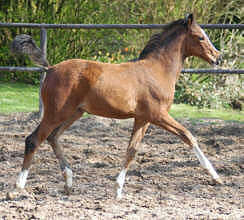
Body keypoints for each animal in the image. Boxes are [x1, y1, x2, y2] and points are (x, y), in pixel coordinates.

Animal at [13, 13, 223, 199]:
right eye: (200, 37)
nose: (218, 57)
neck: (157, 71)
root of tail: (50, 69)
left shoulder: (143, 119)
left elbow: (131, 151)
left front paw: (118, 190)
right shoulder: (158, 115)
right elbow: (188, 136)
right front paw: (216, 177)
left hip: (74, 113)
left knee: (53, 137)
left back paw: (69, 183)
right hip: (56, 113)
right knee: (33, 140)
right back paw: (18, 187)